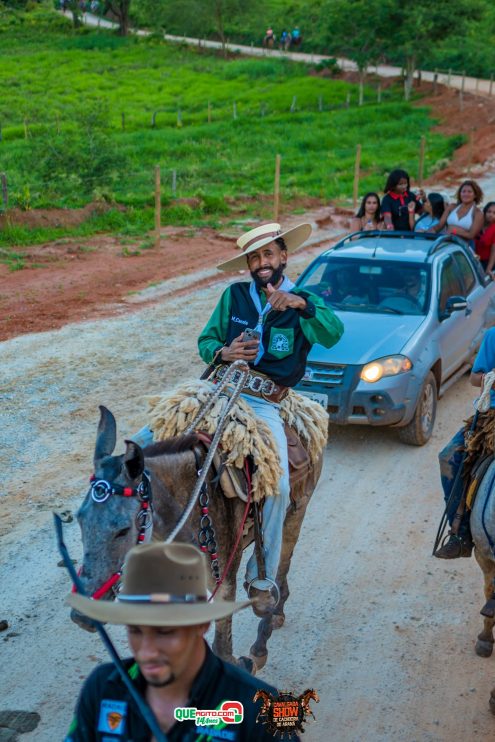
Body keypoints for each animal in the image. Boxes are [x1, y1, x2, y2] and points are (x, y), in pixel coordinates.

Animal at [70, 406, 326, 676]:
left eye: (122, 530)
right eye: (79, 520)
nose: (81, 615)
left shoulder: (223, 578)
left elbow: (222, 647)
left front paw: (241, 664)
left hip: (295, 513)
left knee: (281, 564)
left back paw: (263, 635)